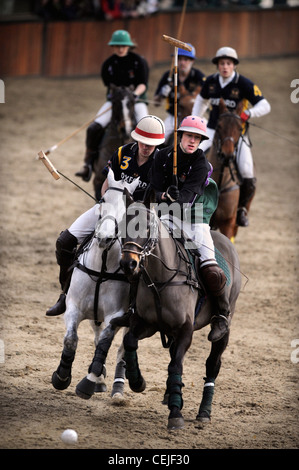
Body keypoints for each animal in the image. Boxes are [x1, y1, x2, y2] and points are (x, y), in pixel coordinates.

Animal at [119, 191, 241, 430]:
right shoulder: (147, 324)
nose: (128, 265)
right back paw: (169, 395)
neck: (160, 280)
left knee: (213, 363)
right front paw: (137, 381)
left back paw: (204, 411)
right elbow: (130, 341)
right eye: (121, 226)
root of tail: (224, 238)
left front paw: (176, 414)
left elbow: (176, 366)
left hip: (226, 322)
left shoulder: (186, 330)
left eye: (146, 226)